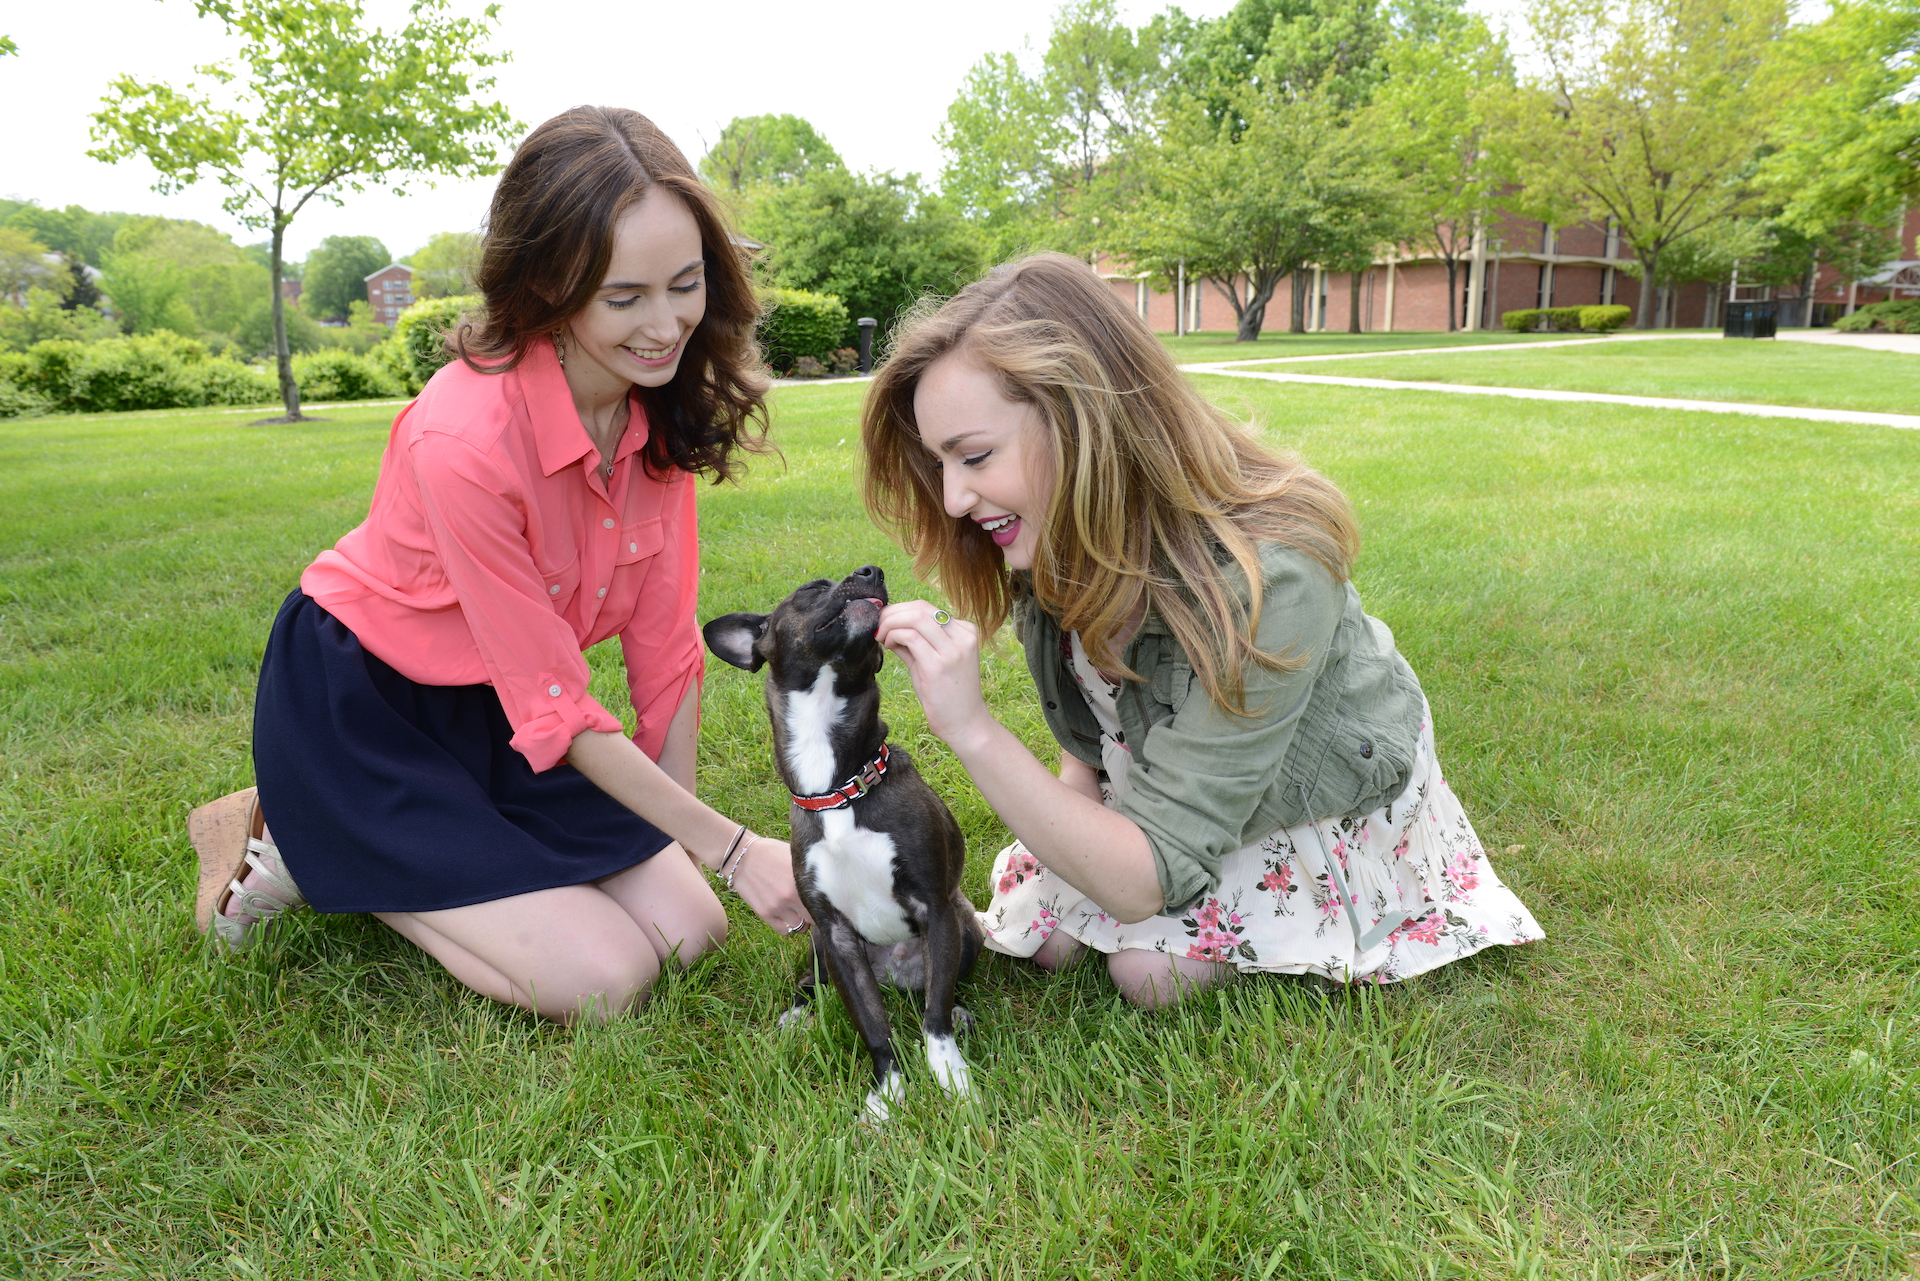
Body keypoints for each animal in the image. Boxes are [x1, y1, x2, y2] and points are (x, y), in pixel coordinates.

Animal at [702, 564, 983, 1121]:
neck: (839, 790)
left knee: (937, 992)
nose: (871, 570)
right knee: (812, 985)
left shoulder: (937, 910)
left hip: (967, 929)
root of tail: (894, 972)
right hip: (817, 945)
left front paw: (951, 1078)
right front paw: (888, 1093)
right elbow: (874, 1028)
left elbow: (934, 1017)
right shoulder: (837, 938)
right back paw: (796, 1015)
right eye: (810, 589)